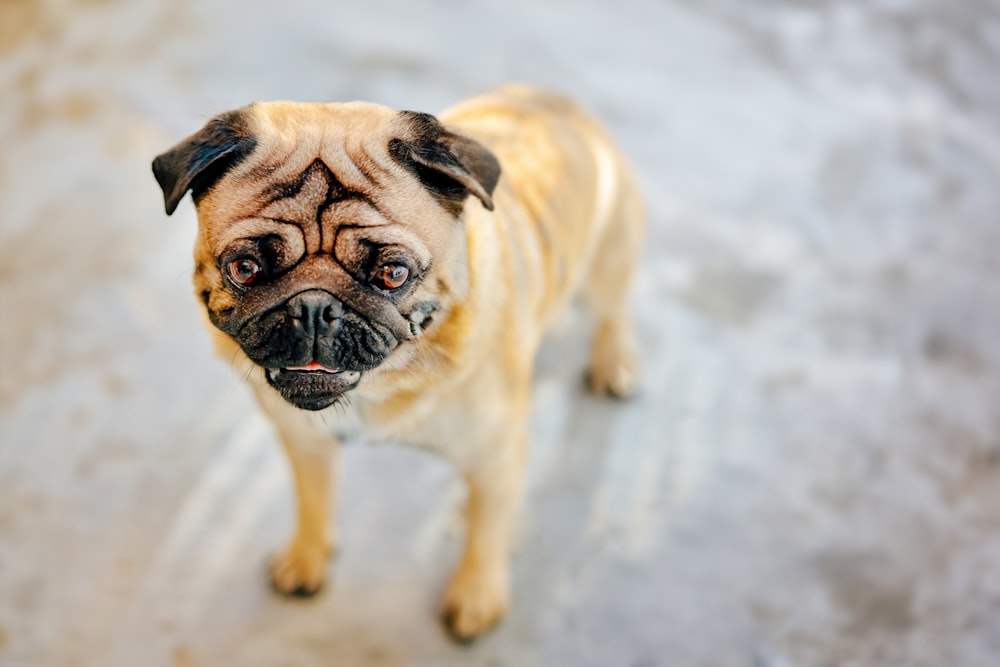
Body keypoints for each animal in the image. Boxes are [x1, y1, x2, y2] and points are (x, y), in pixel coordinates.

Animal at [152, 85, 644, 640]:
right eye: (245, 268)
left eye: (392, 273)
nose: (314, 308)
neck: (380, 386)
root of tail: (550, 99)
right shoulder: (305, 442)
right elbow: (313, 503)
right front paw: (307, 559)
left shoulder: (496, 458)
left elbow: (487, 534)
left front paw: (477, 595)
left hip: (608, 267)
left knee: (614, 311)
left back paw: (616, 364)